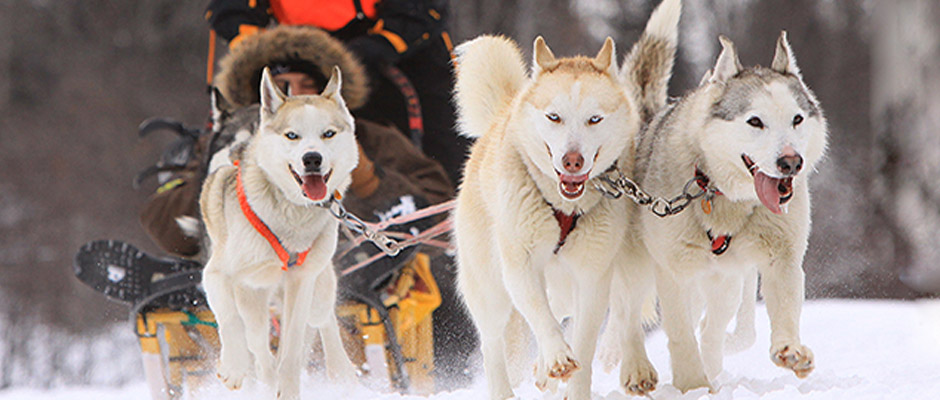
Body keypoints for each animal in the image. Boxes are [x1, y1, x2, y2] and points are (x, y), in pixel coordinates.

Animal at [200, 66, 358, 400]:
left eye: (328, 134)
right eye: (291, 135)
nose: (312, 158)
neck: (290, 215)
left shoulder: (301, 281)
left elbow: (293, 346)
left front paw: (286, 386)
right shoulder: (218, 275)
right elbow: (231, 322)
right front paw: (234, 368)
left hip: (317, 287)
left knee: (321, 318)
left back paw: (340, 370)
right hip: (255, 298)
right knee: (256, 338)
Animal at [452, 0, 680, 396]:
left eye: (594, 119)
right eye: (554, 117)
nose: (572, 160)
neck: (565, 207)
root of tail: (504, 110)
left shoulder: (592, 275)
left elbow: (585, 342)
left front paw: (574, 381)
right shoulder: (520, 265)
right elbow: (540, 317)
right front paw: (556, 357)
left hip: (619, 264)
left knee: (620, 310)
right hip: (489, 288)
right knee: (494, 342)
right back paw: (509, 386)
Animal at [636, 32, 828, 392]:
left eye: (796, 119)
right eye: (755, 121)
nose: (791, 162)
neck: (724, 197)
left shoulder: (781, 255)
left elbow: (784, 306)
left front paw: (789, 350)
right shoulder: (673, 271)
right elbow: (680, 334)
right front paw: (691, 385)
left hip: (725, 286)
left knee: (711, 331)